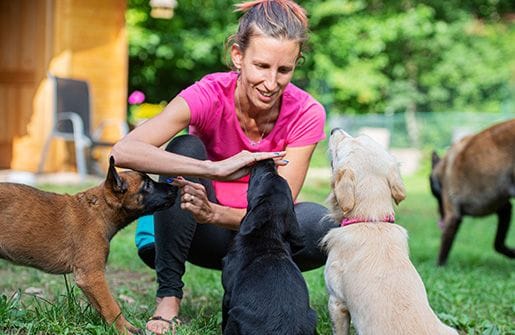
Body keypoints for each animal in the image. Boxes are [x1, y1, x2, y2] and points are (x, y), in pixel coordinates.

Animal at [0, 158, 178, 335]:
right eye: (147, 185)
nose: (175, 187)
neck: (99, 210)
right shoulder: (92, 276)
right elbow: (112, 307)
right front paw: (123, 331)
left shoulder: (90, 282)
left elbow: (103, 307)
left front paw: (126, 326)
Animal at [432, 119, 515, 266]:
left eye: (435, 194)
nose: (440, 216)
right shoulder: (504, 208)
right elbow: (498, 243)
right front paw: (513, 253)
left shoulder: (452, 216)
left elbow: (443, 247)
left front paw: (438, 267)